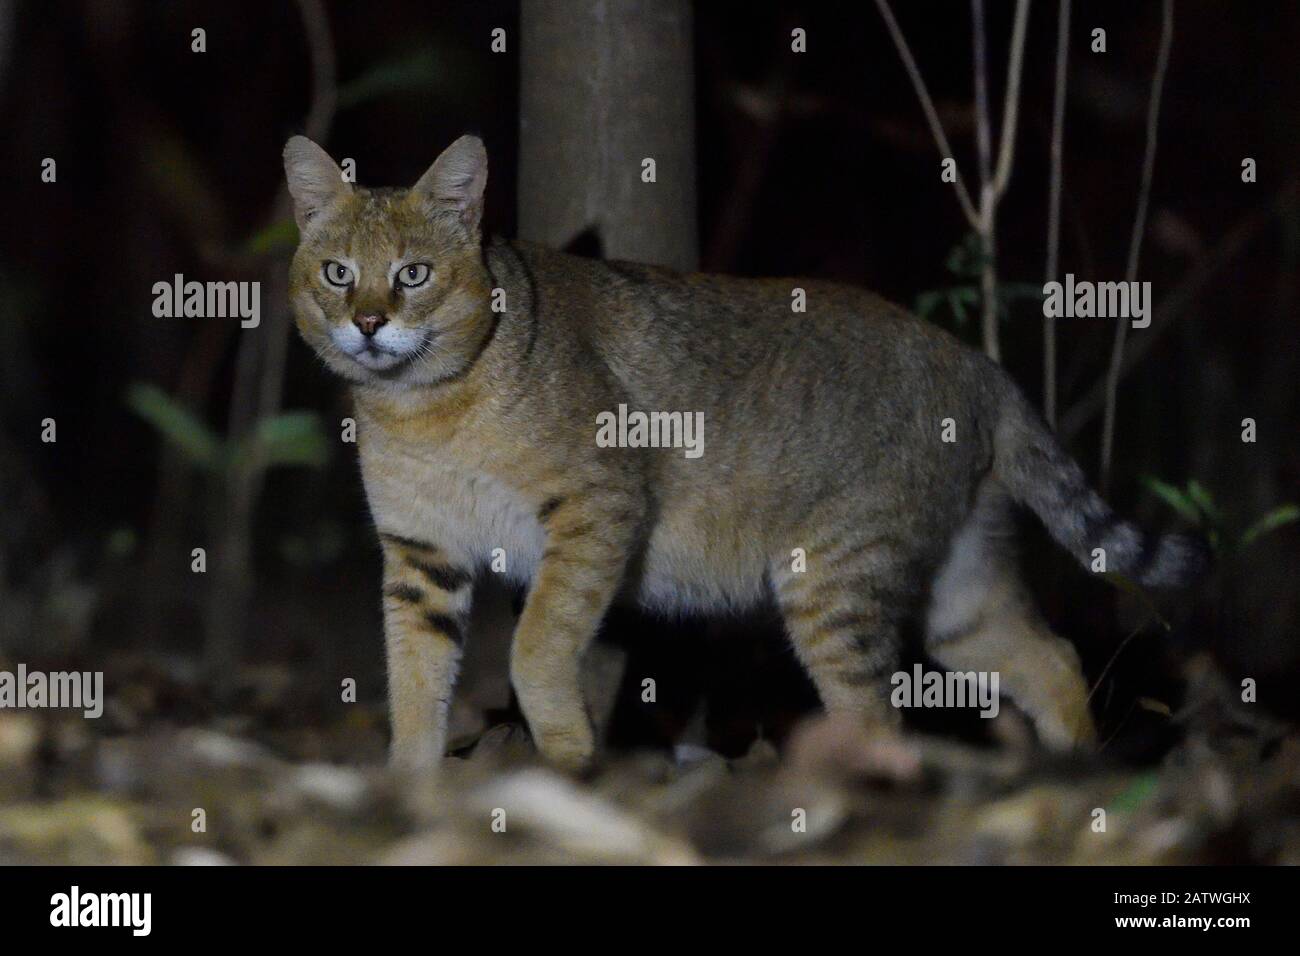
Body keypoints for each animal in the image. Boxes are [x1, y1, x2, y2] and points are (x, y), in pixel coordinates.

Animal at [279, 134, 1201, 775]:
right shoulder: (421, 556)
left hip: (835, 581)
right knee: (1052, 655)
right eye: (336, 273)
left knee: (879, 716)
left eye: (412, 273)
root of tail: (977, 363)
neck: (420, 410)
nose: (367, 323)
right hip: (956, 588)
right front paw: (409, 785)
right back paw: (1079, 780)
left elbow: (535, 645)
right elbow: (414, 679)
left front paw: (568, 758)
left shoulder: (597, 509)